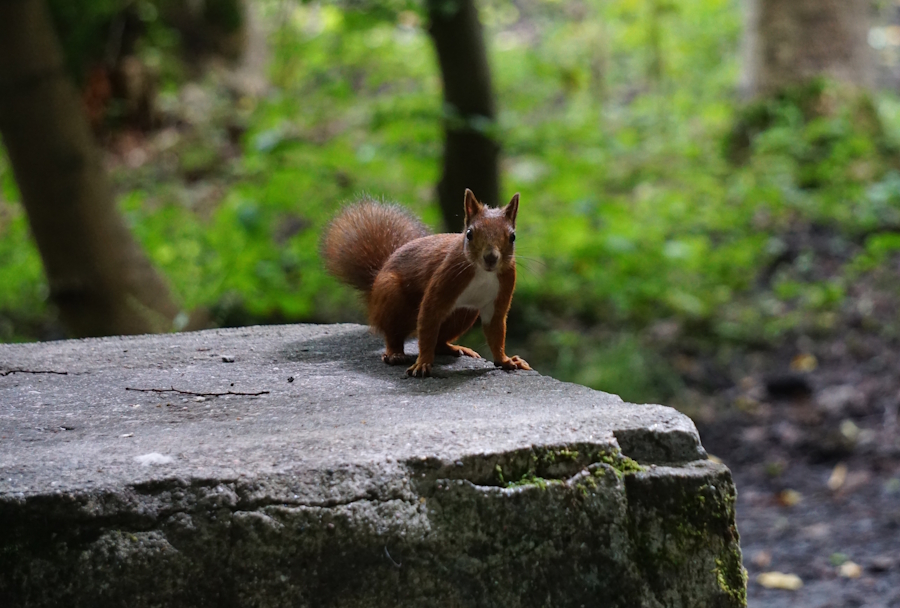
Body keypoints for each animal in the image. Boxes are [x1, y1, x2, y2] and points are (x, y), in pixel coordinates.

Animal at [321, 189, 531, 378]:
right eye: (469, 234)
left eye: (512, 236)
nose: (490, 258)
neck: (483, 273)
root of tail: (374, 288)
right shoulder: (444, 279)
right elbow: (428, 323)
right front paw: (422, 363)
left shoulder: (502, 292)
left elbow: (495, 331)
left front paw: (505, 360)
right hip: (392, 298)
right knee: (393, 333)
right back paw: (395, 353)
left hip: (464, 313)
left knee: (439, 341)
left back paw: (454, 348)